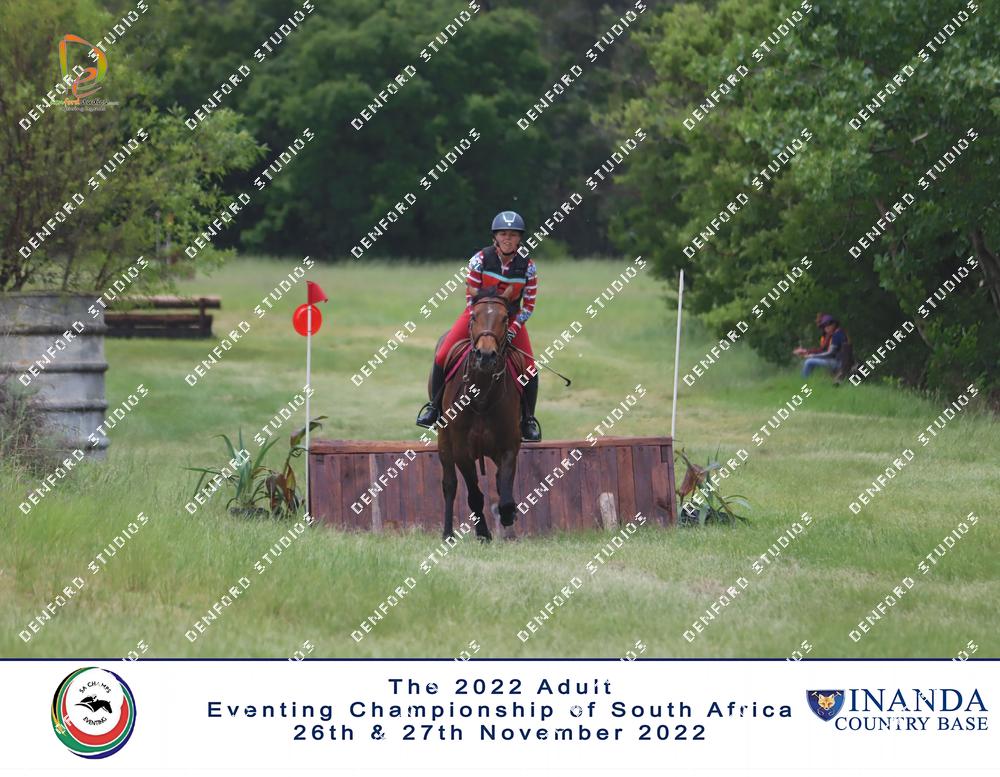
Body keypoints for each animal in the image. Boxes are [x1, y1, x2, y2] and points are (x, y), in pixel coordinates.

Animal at [431, 288, 524, 541]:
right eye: (473, 316)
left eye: (505, 318)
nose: (486, 355)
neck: (481, 395)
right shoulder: (462, 449)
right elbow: (473, 494)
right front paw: (483, 532)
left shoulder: (509, 445)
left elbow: (504, 487)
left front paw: (508, 514)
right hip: (444, 441)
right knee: (449, 484)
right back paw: (447, 533)